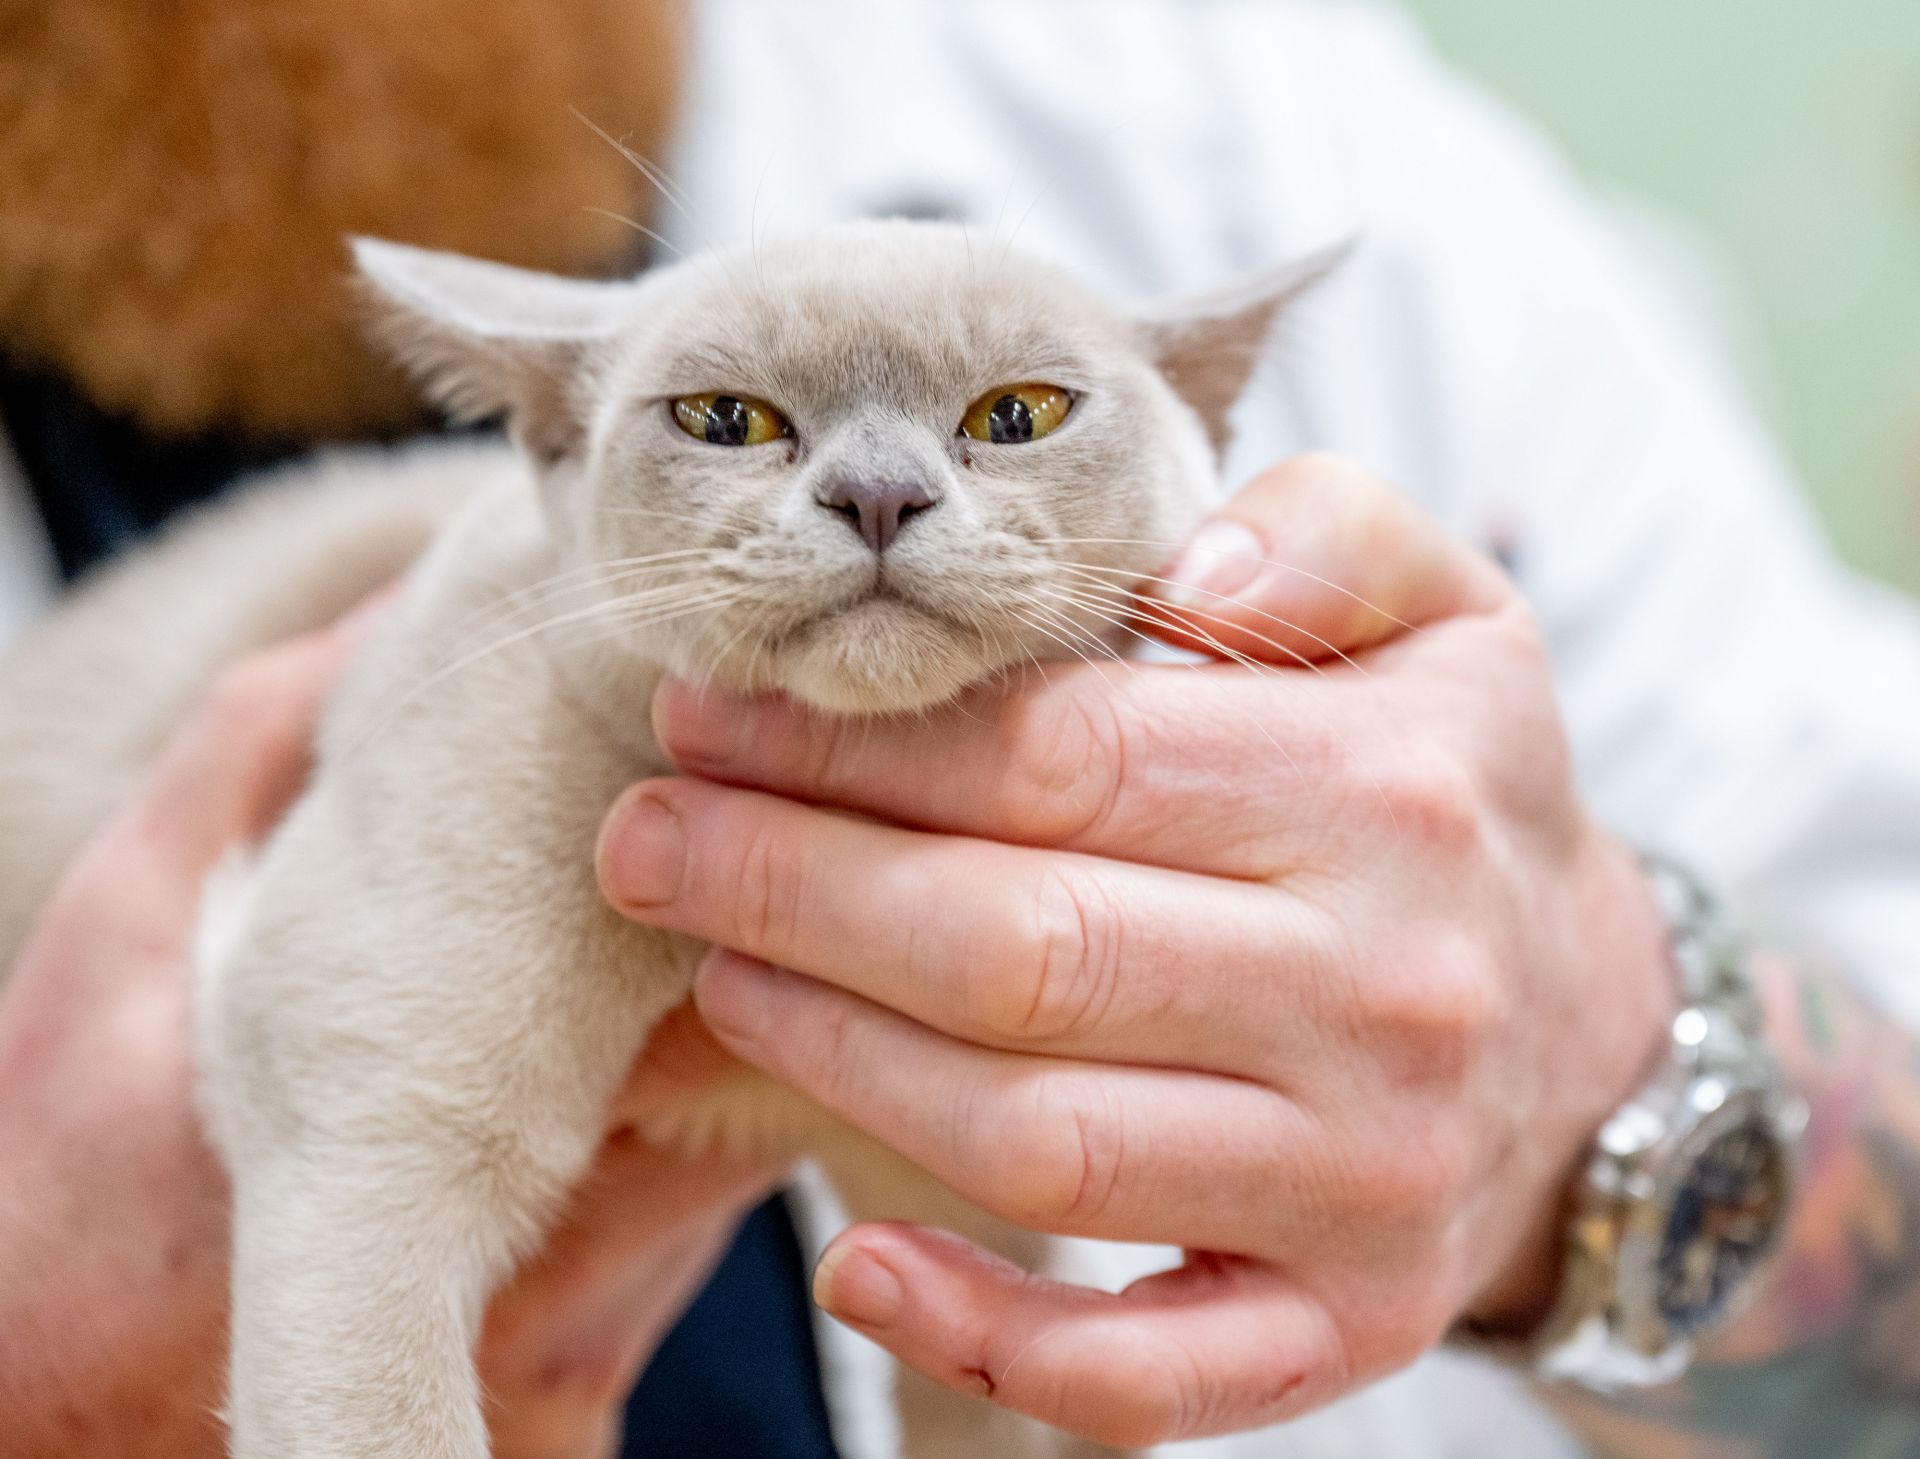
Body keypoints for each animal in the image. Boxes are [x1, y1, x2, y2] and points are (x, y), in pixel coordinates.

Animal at [0, 219, 1336, 1459]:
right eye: (726, 421)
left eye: (1017, 416)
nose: (878, 496)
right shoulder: (372, 1127)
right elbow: (387, 1415)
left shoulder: (956, 1207)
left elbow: (1001, 1407)